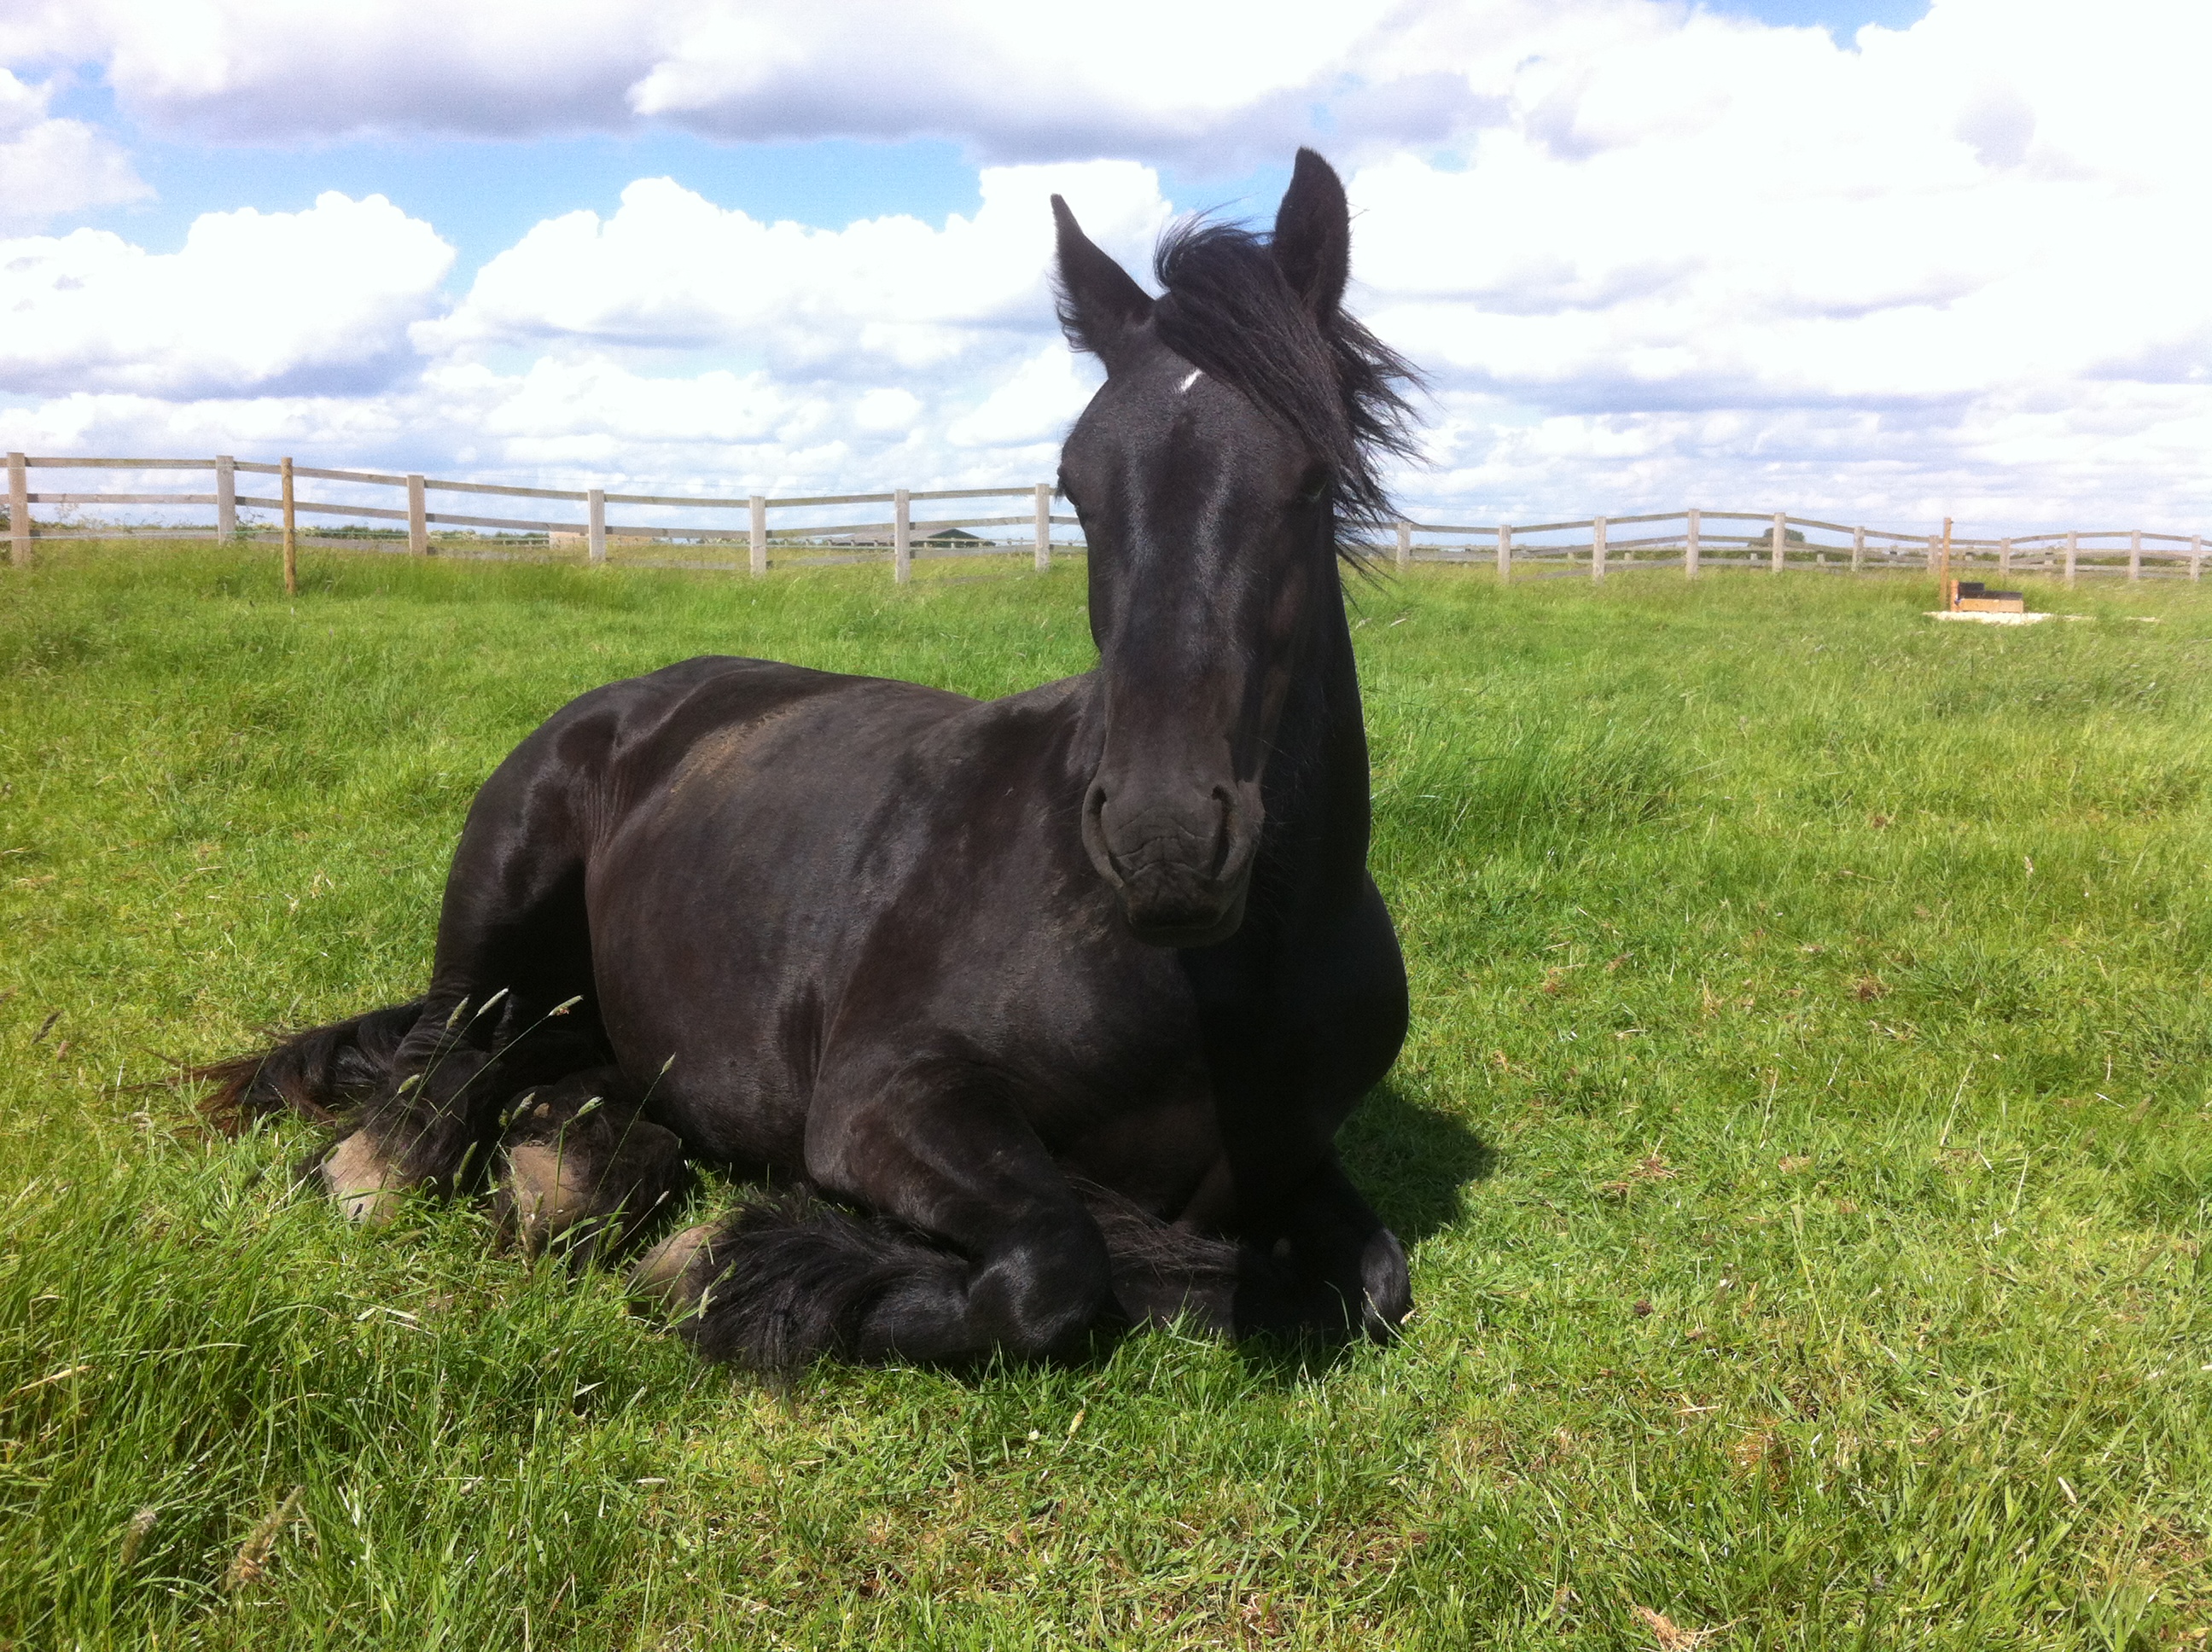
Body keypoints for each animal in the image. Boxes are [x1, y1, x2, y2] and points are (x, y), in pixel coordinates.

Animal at [215, 151, 1424, 1370]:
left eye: (1313, 477)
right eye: (1078, 487)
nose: (1164, 842)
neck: (1220, 988)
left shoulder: (1298, 1160)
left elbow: (1372, 1281)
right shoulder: (883, 1100)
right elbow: (1055, 1266)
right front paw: (727, 1260)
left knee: (556, 1069)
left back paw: (571, 1167)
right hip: (501, 899)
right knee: (442, 1062)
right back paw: (417, 1169)